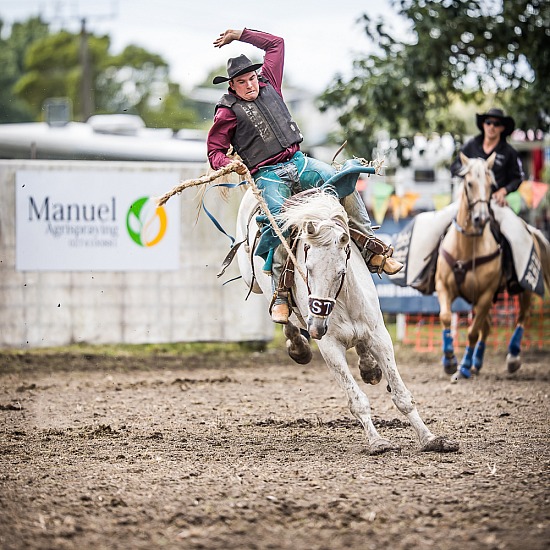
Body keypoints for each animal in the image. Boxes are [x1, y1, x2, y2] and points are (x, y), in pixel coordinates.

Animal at [237, 190, 462, 458]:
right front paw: (377, 441)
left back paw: (369, 367)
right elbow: (357, 400)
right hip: (255, 283)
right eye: (308, 268)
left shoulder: (380, 336)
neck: (344, 302)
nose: (316, 328)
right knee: (283, 317)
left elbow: (402, 396)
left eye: (340, 271)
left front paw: (431, 438)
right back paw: (298, 344)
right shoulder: (329, 347)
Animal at [438, 152, 548, 384]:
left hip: (521, 289)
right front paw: (450, 360)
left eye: (491, 185)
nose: (481, 218)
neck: (467, 247)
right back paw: (477, 363)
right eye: (469, 183)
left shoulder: (486, 294)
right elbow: (446, 318)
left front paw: (462, 368)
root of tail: (530, 229)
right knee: (487, 326)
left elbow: (472, 332)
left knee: (522, 317)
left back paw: (511, 357)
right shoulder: (444, 287)